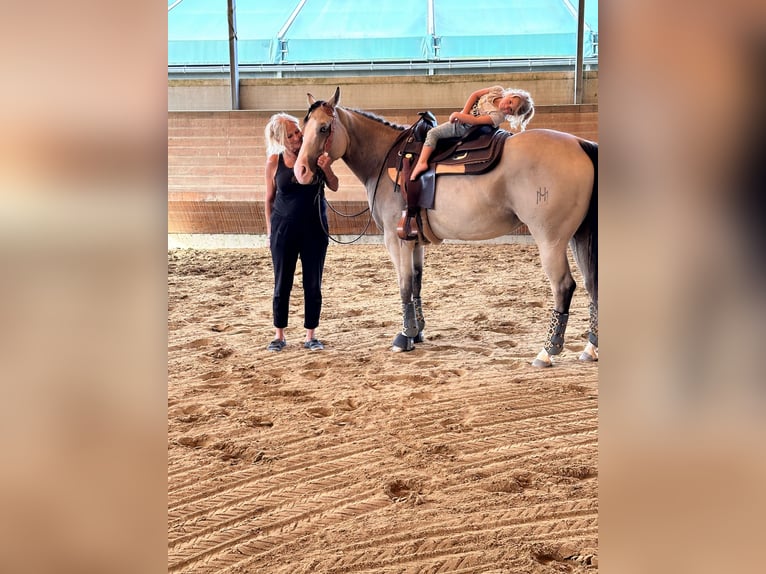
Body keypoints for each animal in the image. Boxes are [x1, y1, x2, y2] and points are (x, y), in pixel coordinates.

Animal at [294, 89, 600, 368]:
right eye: (301, 129)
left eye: (323, 128)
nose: (301, 171)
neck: (386, 158)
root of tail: (579, 142)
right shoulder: (414, 240)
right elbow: (417, 283)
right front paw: (417, 332)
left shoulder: (396, 240)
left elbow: (404, 286)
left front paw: (403, 337)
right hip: (579, 236)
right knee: (591, 284)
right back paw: (590, 348)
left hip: (551, 239)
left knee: (564, 286)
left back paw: (547, 351)